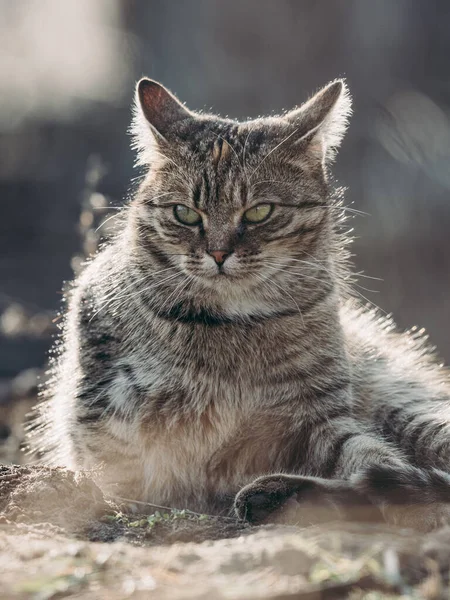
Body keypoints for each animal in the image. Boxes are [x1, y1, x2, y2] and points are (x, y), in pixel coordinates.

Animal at [27, 76, 450, 528]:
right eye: (185, 213)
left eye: (260, 211)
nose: (218, 253)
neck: (229, 323)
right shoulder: (108, 412)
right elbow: (121, 472)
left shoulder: (317, 418)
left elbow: (370, 459)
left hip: (410, 410)